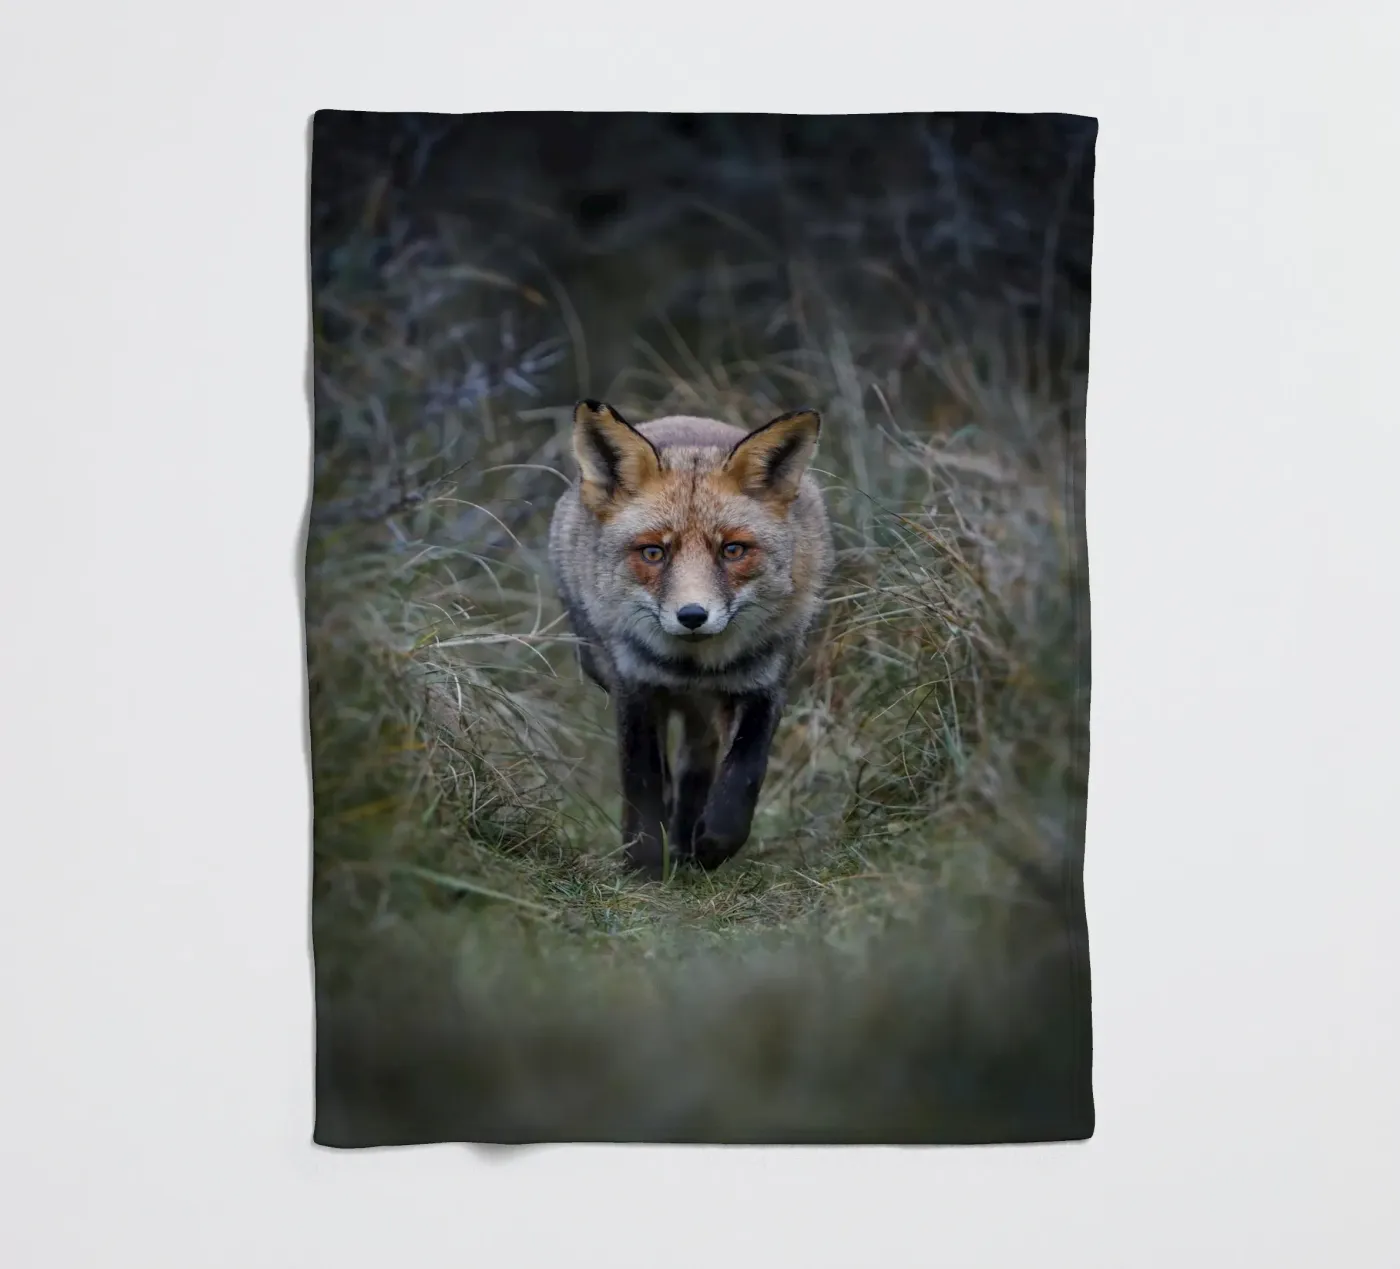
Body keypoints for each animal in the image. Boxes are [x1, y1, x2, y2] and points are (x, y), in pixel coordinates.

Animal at [548, 399, 835, 878]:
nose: (693, 616)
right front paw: (644, 867)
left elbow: (744, 776)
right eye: (653, 552)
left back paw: (687, 841)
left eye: (733, 550)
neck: (694, 666)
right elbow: (643, 782)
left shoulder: (765, 683)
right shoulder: (635, 687)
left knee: (696, 765)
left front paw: (712, 844)